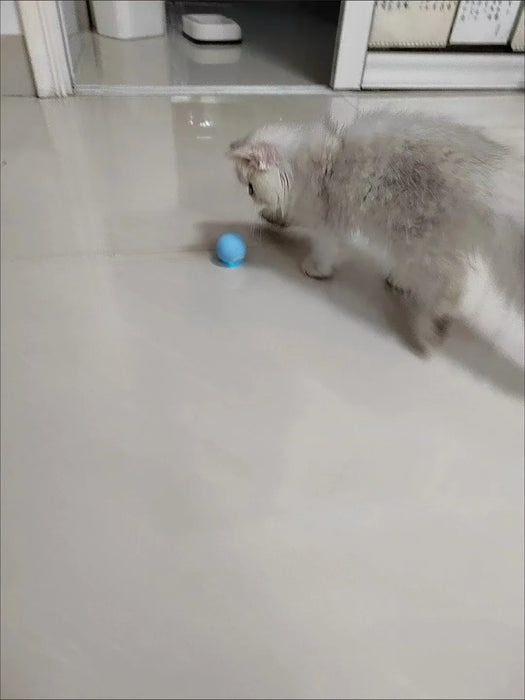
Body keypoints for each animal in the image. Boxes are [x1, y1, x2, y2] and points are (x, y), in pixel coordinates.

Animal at [227, 109, 520, 364]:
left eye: (251, 187)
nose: (252, 197)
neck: (319, 159)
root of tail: (485, 178)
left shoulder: (327, 218)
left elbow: (323, 247)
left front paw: (315, 269)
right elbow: (287, 214)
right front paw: (272, 217)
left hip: (418, 238)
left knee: (452, 283)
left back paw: (432, 328)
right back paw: (401, 282)